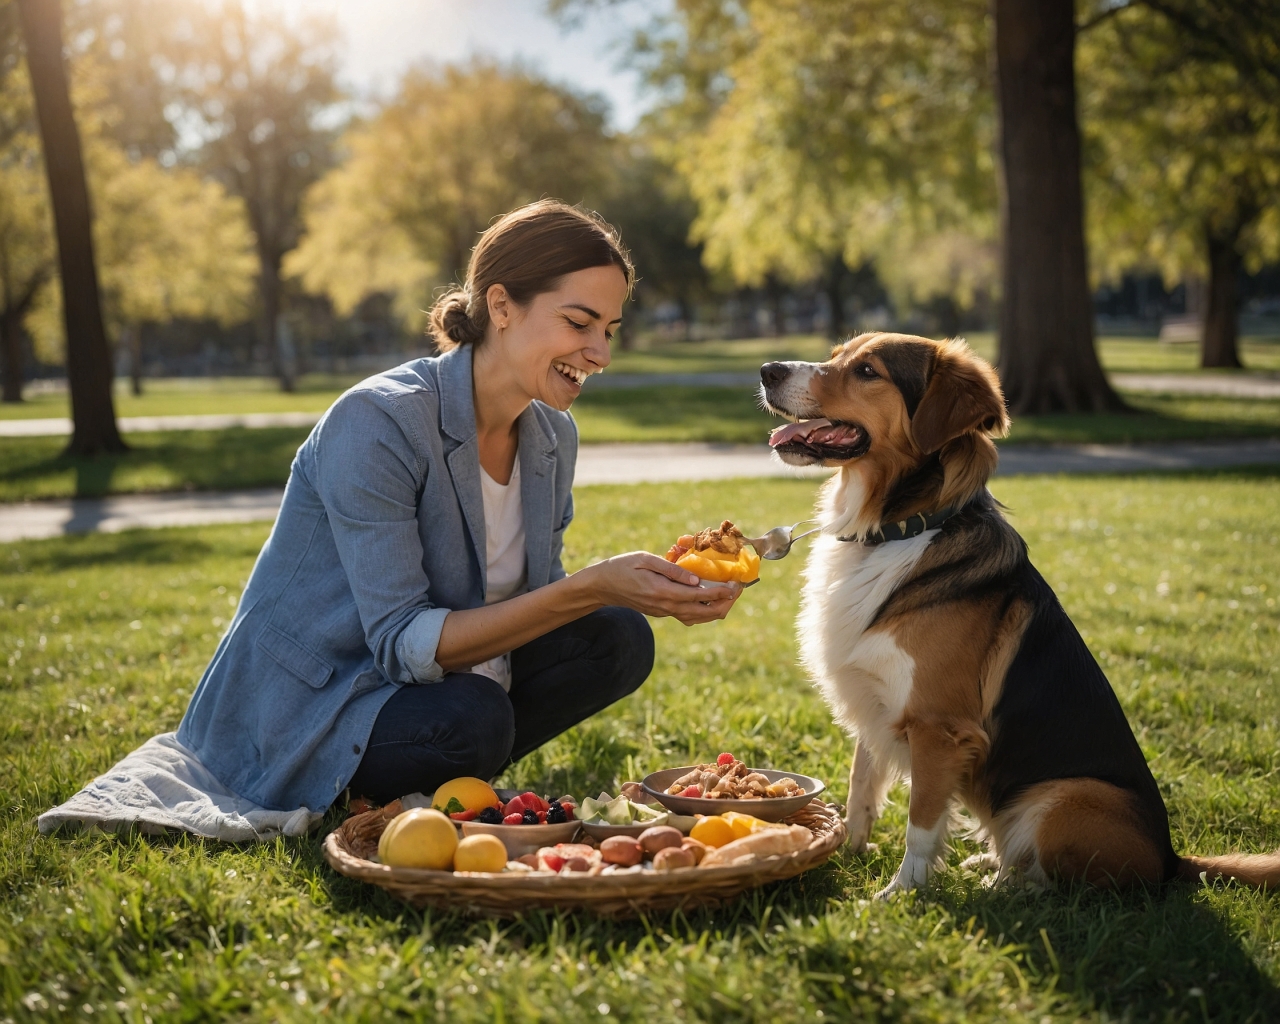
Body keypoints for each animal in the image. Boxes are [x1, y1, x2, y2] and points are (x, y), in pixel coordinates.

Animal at [757, 332, 1280, 890]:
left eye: (867, 371)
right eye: (836, 355)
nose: (767, 371)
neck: (899, 528)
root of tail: (1169, 858)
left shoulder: (938, 728)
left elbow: (921, 823)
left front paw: (900, 893)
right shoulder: (872, 700)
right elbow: (862, 784)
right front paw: (848, 852)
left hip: (1065, 797)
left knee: (1059, 881)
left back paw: (1004, 884)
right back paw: (991, 861)